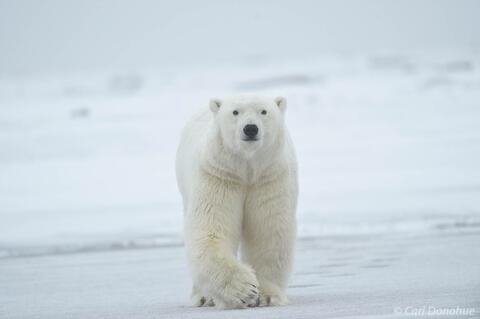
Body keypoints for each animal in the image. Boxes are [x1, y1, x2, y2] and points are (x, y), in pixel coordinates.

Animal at [175, 95, 296, 310]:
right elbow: (210, 231)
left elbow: (269, 232)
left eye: (263, 111)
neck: (246, 168)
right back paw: (203, 297)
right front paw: (246, 291)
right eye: (235, 112)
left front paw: (267, 296)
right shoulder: (220, 175)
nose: (250, 129)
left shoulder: (268, 177)